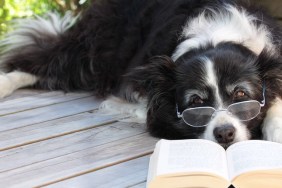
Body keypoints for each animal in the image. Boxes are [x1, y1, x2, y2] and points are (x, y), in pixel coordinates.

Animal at [0, 0, 282, 148]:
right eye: (195, 102)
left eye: (241, 95)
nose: (224, 134)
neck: (214, 38)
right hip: (95, 48)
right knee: (45, 60)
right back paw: (5, 83)